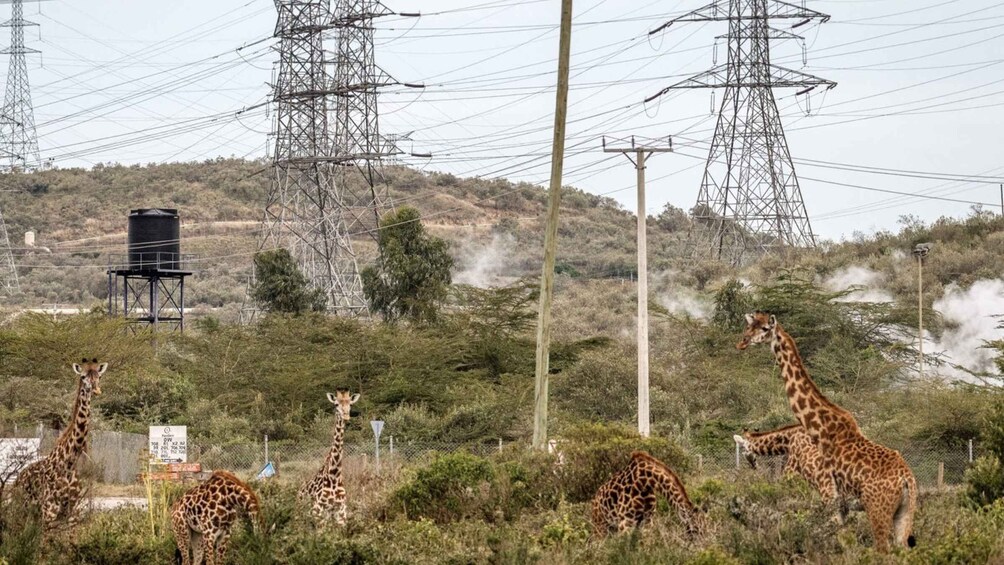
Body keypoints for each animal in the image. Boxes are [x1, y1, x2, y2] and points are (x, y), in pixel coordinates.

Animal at [14, 361, 107, 529]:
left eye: (99, 376)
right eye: (83, 376)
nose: (96, 390)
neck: (69, 463)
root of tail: (18, 478)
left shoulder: (73, 510)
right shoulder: (49, 511)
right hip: (25, 507)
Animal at [299, 389, 359, 525]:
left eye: (350, 404)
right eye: (336, 404)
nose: (346, 418)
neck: (334, 475)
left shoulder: (341, 512)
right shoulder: (318, 512)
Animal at [738, 309, 919, 553]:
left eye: (765, 328)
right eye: (749, 326)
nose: (742, 342)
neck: (819, 429)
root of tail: (906, 479)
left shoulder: (828, 495)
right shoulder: (841, 506)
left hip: (877, 510)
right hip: (905, 512)